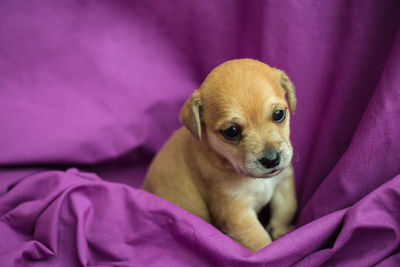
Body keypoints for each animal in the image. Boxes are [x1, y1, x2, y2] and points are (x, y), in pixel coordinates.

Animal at [143, 58, 296, 253]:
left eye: (279, 114)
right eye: (231, 131)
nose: (271, 160)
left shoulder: (283, 182)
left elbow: (286, 209)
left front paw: (283, 232)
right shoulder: (236, 212)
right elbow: (258, 240)